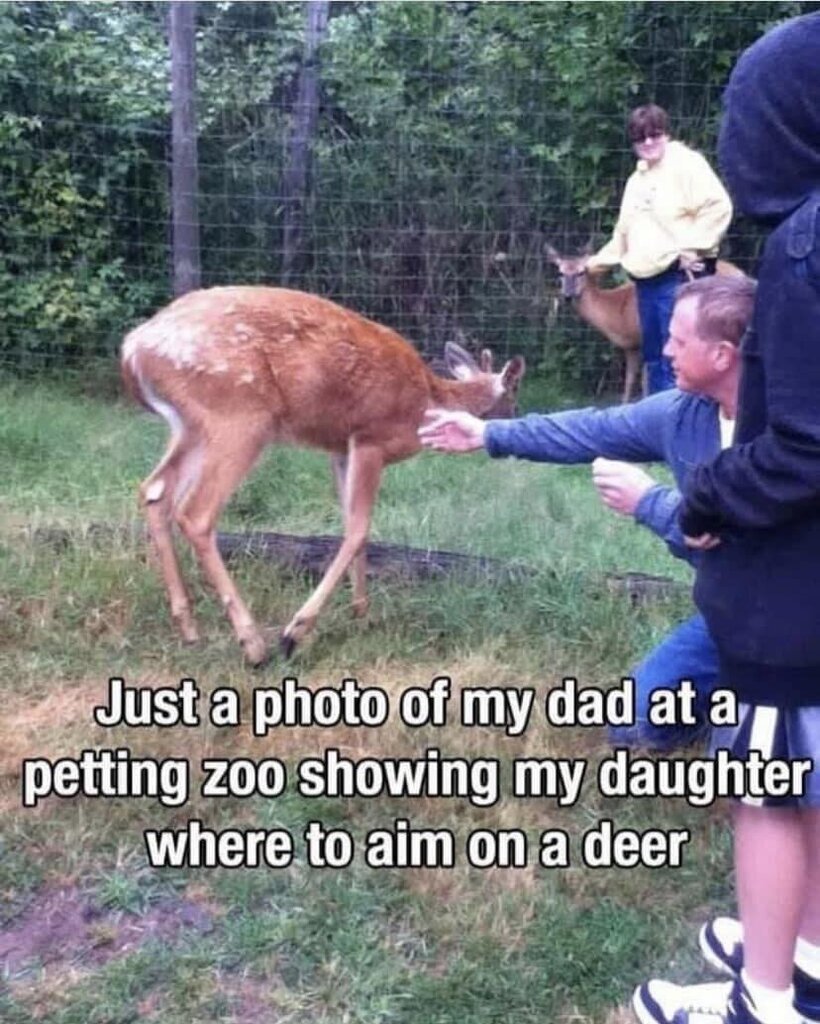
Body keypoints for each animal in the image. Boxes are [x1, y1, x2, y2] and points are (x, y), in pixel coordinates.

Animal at [121, 287, 525, 664]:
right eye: (513, 393)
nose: (511, 422)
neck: (426, 402)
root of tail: (132, 350)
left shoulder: (341, 448)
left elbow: (355, 528)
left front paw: (361, 614)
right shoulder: (371, 438)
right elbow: (358, 529)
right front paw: (296, 632)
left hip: (190, 426)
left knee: (155, 490)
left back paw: (190, 630)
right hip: (240, 414)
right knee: (195, 512)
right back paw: (253, 643)